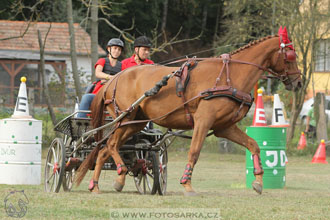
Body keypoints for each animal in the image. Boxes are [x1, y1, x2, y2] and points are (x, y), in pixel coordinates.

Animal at [76, 29, 302, 196]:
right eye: (290, 56)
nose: (298, 82)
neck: (230, 76)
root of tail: (113, 80)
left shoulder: (224, 127)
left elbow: (254, 145)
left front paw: (258, 181)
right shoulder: (204, 120)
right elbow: (194, 151)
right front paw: (186, 183)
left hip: (135, 123)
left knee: (106, 148)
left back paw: (101, 183)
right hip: (126, 118)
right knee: (110, 145)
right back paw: (117, 174)